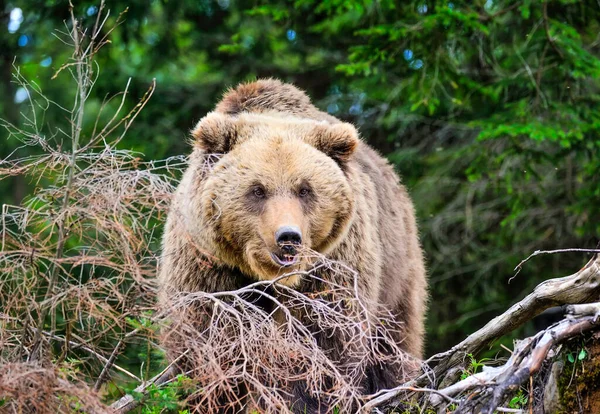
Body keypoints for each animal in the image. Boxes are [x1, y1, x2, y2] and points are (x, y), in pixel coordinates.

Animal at [157, 77, 424, 410]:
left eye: (305, 189)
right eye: (257, 190)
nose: (288, 237)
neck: (267, 276)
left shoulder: (330, 268)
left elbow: (323, 342)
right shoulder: (209, 266)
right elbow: (206, 341)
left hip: (397, 270)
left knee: (393, 342)